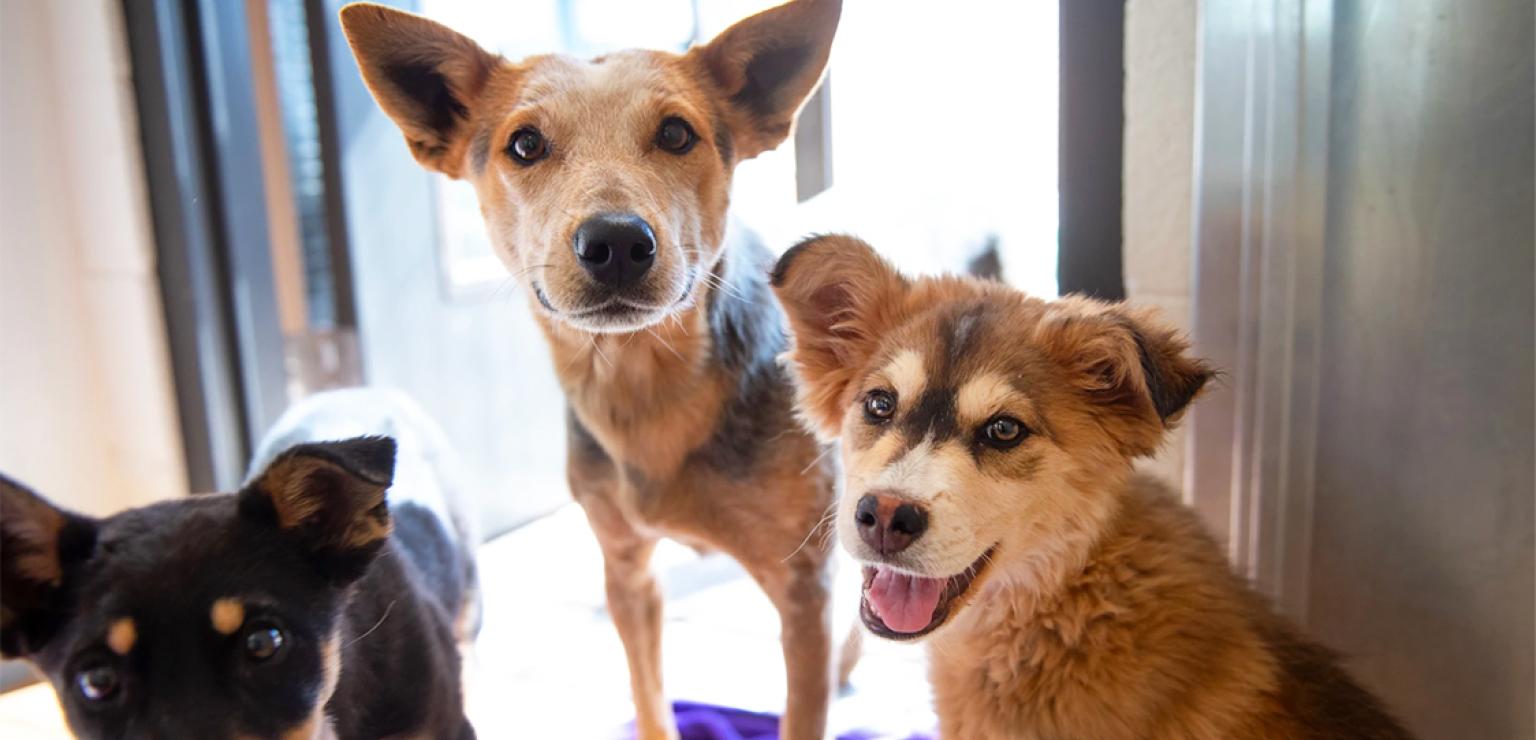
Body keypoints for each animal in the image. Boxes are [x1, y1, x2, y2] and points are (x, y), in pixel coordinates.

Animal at [336, 2, 847, 736]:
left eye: (675, 133)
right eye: (525, 145)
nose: (616, 242)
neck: (646, 386)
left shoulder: (804, 591)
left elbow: (803, 710)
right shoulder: (627, 574)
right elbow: (649, 698)